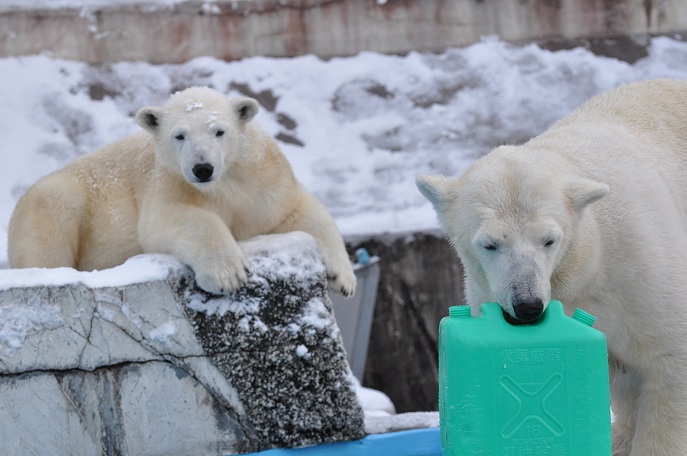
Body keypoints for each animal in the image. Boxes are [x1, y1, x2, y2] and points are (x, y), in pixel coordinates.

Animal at [8, 87, 358, 298]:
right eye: (179, 135)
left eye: (219, 131)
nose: (202, 168)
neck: (224, 182)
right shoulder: (169, 181)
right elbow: (173, 220)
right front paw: (228, 274)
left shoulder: (264, 181)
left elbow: (300, 211)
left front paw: (343, 277)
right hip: (56, 198)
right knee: (48, 234)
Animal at [416, 80, 687, 454]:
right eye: (489, 244)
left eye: (548, 240)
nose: (527, 306)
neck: (588, 262)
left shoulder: (638, 269)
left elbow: (668, 359)